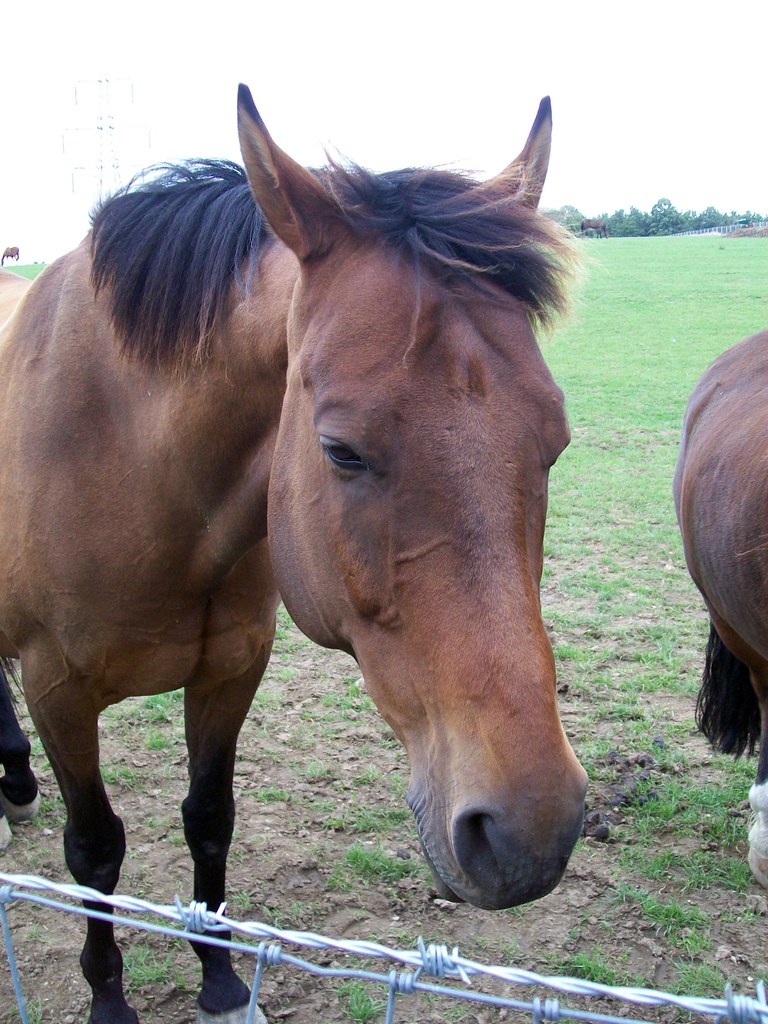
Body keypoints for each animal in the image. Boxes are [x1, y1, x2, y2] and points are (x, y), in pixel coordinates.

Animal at [0, 84, 587, 1024]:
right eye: (340, 450)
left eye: (557, 442)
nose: (530, 831)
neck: (131, 459)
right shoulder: (57, 688)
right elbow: (93, 851)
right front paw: (109, 999)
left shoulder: (231, 669)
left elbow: (209, 818)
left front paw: (219, 975)